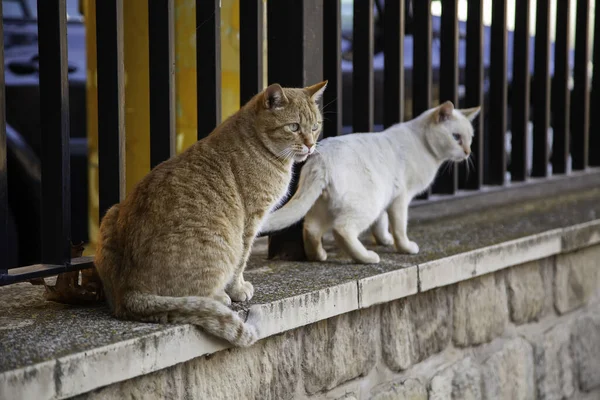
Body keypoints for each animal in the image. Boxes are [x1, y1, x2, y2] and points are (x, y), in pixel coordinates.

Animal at [95, 82, 328, 346]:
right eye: (294, 127)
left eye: (315, 127)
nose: (310, 145)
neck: (256, 142)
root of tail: (128, 290)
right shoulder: (250, 221)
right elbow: (241, 261)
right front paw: (238, 290)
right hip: (223, 241)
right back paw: (220, 297)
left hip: (110, 213)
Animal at [260, 100, 480, 264]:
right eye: (456, 137)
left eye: (470, 139)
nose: (468, 151)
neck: (424, 146)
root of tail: (321, 159)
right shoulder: (400, 198)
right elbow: (399, 228)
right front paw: (405, 247)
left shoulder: (387, 198)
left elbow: (381, 225)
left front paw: (385, 241)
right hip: (367, 204)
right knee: (342, 230)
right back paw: (367, 258)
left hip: (324, 205)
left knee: (311, 228)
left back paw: (319, 256)